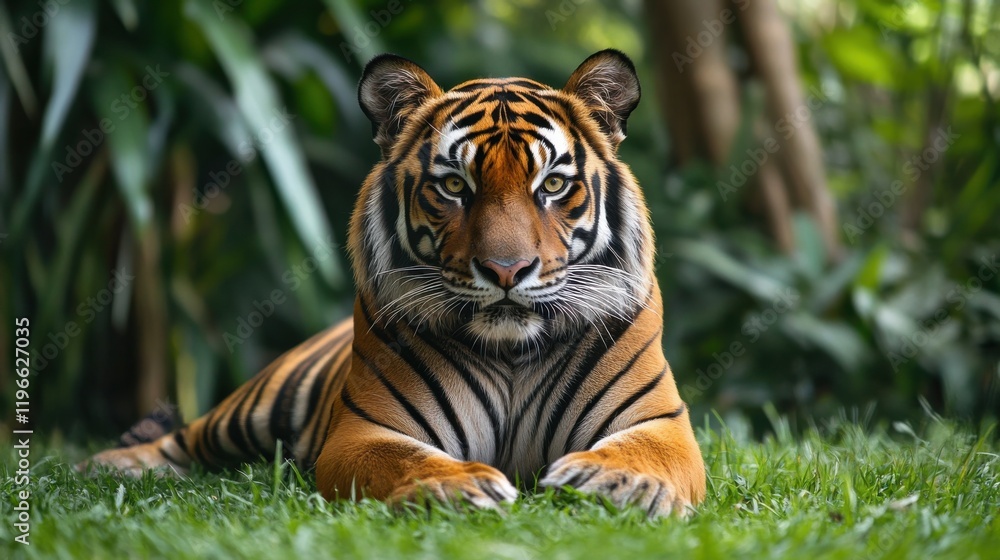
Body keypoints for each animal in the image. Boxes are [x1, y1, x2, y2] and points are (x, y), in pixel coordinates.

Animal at [79, 49, 707, 517]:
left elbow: (644, 456)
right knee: (184, 438)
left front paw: (617, 484)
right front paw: (462, 486)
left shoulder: (659, 423)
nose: (506, 271)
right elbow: (409, 460)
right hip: (252, 405)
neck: (511, 354)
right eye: (454, 186)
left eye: (552, 184)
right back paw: (100, 465)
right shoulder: (366, 432)